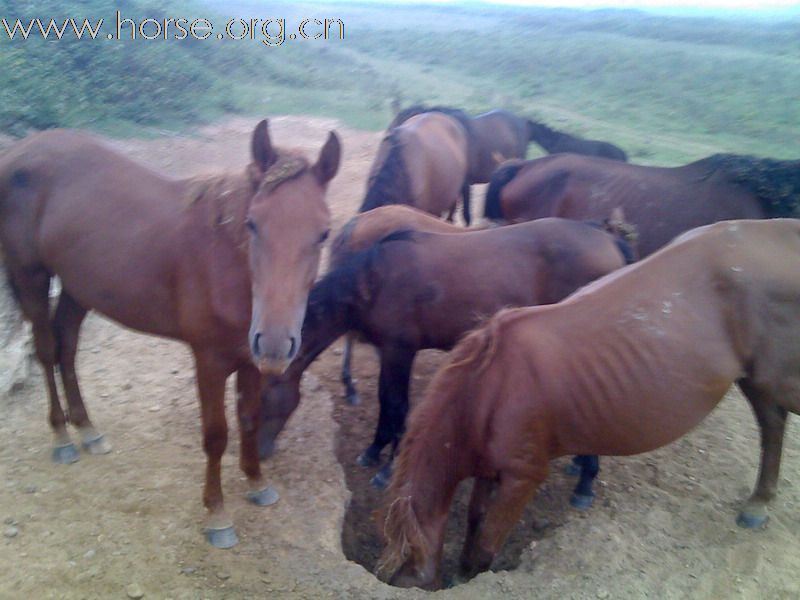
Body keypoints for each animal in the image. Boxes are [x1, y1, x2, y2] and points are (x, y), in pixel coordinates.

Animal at [0, 119, 340, 548]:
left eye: (324, 233)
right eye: (252, 223)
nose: (277, 345)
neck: (224, 262)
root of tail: (19, 151)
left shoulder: (249, 359)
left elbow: (248, 418)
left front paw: (257, 483)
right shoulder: (209, 361)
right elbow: (216, 435)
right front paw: (217, 515)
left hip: (79, 289)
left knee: (67, 347)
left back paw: (88, 430)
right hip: (31, 276)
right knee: (47, 351)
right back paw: (62, 438)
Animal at [378, 217, 800, 592]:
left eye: (405, 577)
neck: (486, 389)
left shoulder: (521, 478)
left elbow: (485, 546)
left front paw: (467, 576)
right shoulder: (487, 469)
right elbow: (475, 520)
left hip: (774, 379)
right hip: (756, 381)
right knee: (772, 425)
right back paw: (758, 503)